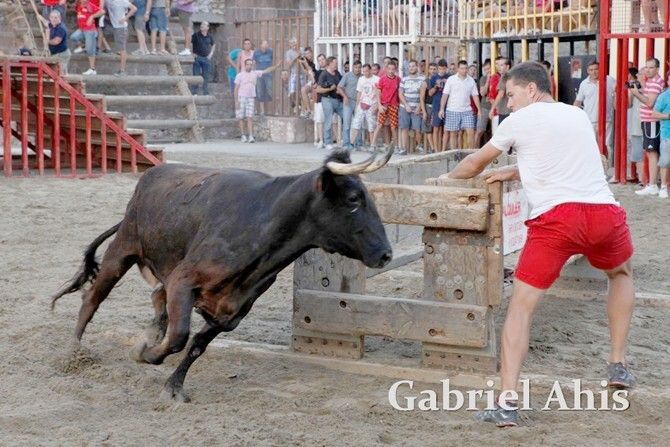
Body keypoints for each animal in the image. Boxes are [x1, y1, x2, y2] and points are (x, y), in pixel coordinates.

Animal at [52, 148, 393, 402]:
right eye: (353, 200)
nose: (386, 254)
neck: (262, 222)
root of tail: (150, 176)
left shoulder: (233, 311)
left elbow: (197, 344)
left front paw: (173, 386)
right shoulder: (183, 280)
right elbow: (179, 337)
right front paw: (144, 353)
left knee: (155, 295)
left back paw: (148, 331)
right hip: (123, 247)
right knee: (93, 298)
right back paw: (73, 352)